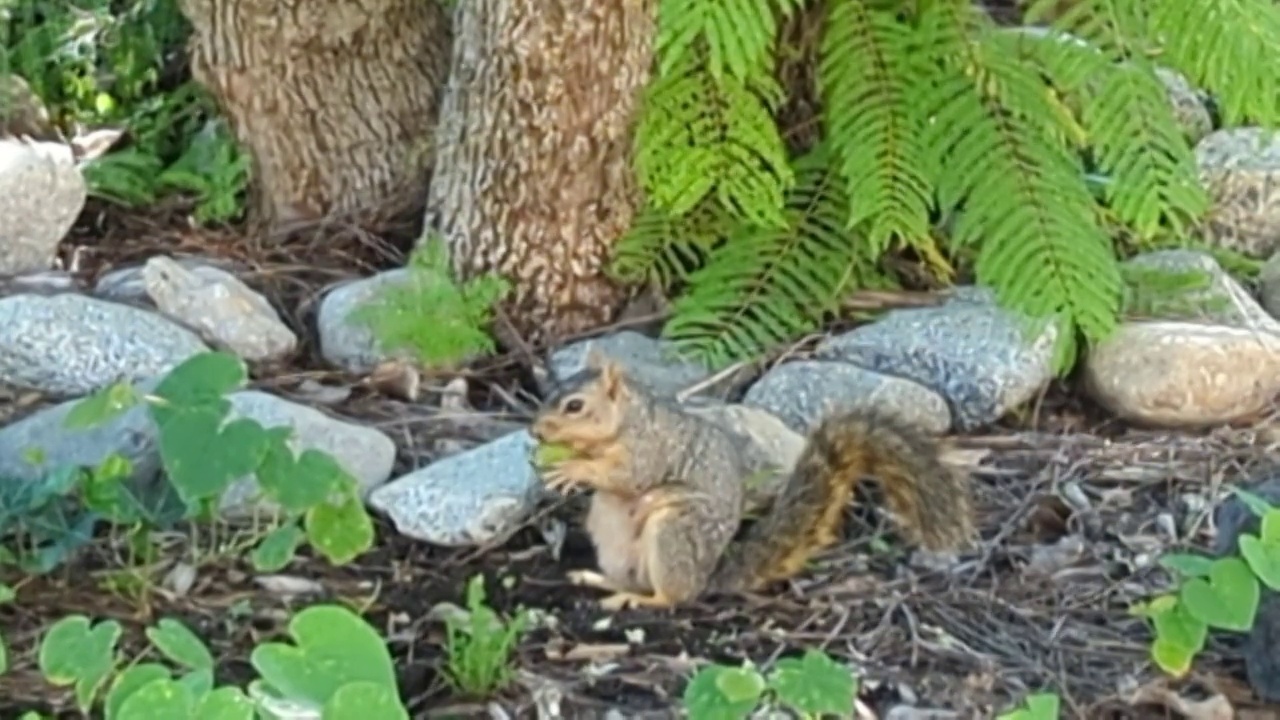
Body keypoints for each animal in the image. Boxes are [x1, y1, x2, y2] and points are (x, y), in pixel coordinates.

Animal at [524, 351, 972, 607]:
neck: (626, 422)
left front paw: (574, 469)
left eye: (575, 406)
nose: (536, 431)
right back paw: (599, 581)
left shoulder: (650, 449)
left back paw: (640, 601)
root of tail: (709, 575)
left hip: (673, 532)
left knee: (673, 596)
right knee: (633, 581)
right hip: (607, 534)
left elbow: (631, 476)